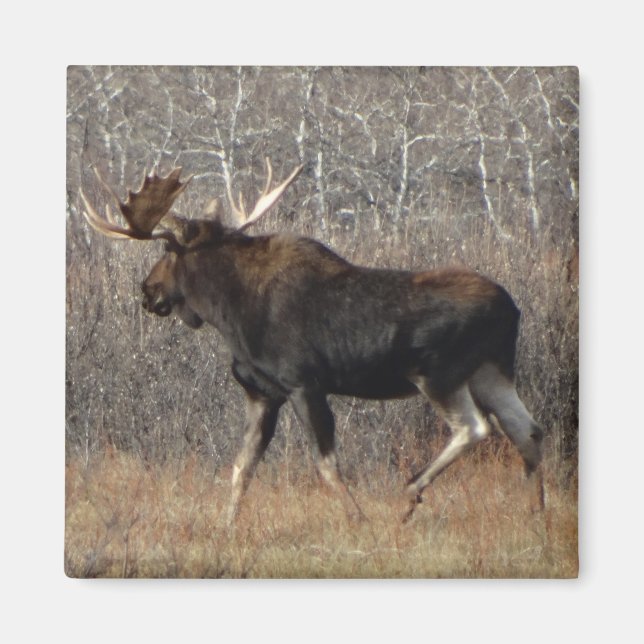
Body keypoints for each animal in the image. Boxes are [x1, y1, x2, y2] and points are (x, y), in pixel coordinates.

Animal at [79, 158, 544, 525]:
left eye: (168, 254)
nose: (147, 291)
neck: (227, 310)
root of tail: (512, 309)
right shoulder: (262, 393)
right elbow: (241, 468)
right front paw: (226, 525)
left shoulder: (304, 384)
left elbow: (326, 466)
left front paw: (359, 519)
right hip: (491, 370)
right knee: (528, 429)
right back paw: (536, 515)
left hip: (439, 373)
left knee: (475, 427)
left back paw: (410, 494)